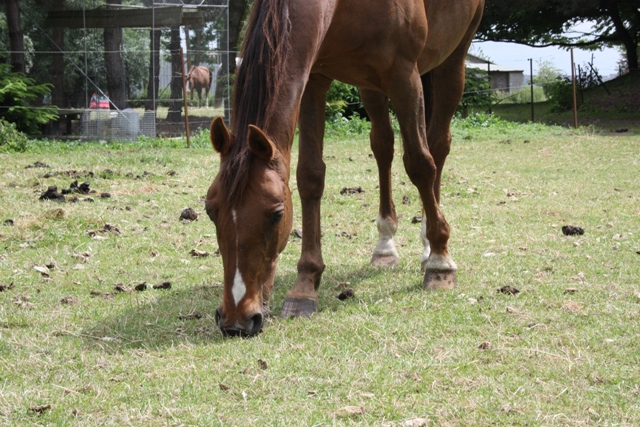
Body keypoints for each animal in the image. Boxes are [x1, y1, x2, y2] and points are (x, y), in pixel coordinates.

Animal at [208, 0, 482, 338]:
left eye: (277, 215)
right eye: (210, 211)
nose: (236, 320)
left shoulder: (404, 76)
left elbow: (420, 164)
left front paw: (440, 261)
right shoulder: (314, 78)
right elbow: (310, 175)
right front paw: (304, 286)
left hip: (451, 61)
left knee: (437, 145)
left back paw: (431, 246)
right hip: (370, 84)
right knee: (383, 146)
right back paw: (385, 245)